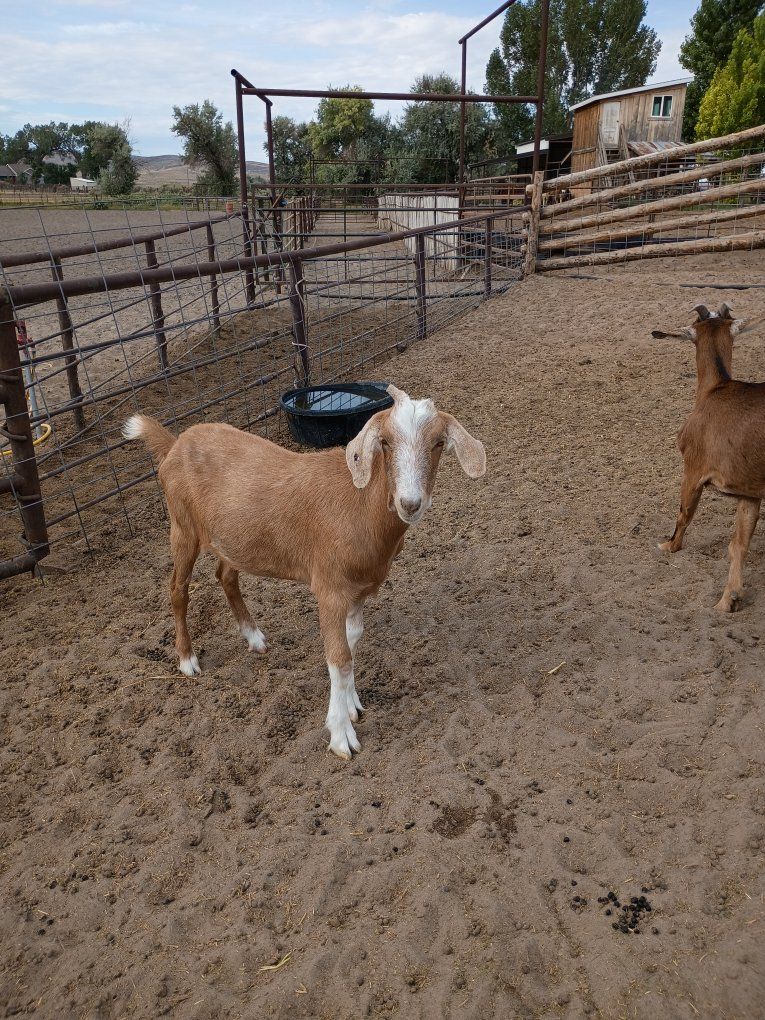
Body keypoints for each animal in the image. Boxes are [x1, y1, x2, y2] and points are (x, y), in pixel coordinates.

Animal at [123, 385, 486, 759]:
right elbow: (339, 659)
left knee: (226, 575)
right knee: (178, 589)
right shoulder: (329, 588)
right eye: (384, 442)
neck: (360, 506)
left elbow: (352, 642)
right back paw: (187, 660)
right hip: (182, 527)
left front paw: (352, 706)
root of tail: (175, 443)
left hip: (230, 537)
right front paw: (341, 736)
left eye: (439, 443)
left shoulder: (359, 589)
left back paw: (253, 637)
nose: (410, 503)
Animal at [653, 303, 765, 611]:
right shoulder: (750, 490)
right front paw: (728, 600)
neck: (716, 389)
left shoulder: (692, 469)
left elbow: (684, 513)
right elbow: (738, 544)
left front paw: (669, 546)